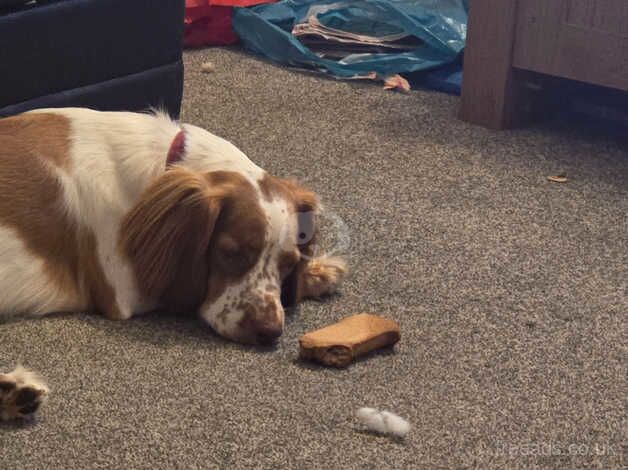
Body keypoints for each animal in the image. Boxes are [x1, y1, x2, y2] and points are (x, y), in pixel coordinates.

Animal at [0, 108, 344, 420]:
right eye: (231, 252)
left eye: (288, 263)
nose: (269, 332)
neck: (160, 174)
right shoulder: (127, 289)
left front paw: (319, 270)